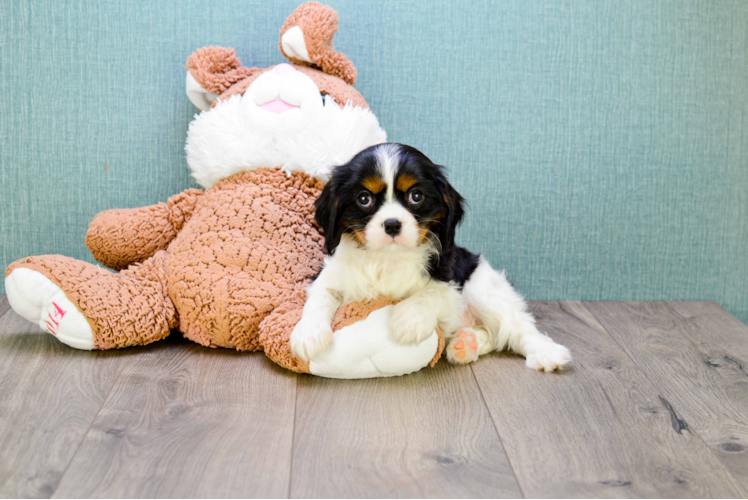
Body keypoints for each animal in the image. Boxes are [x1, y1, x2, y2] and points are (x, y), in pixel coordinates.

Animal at [290, 142, 568, 372]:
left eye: (416, 196)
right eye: (364, 199)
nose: (392, 224)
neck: (387, 259)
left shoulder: (451, 287)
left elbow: (430, 294)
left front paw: (407, 320)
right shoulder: (329, 277)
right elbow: (320, 297)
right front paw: (308, 334)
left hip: (484, 288)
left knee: (515, 328)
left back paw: (546, 352)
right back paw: (466, 344)